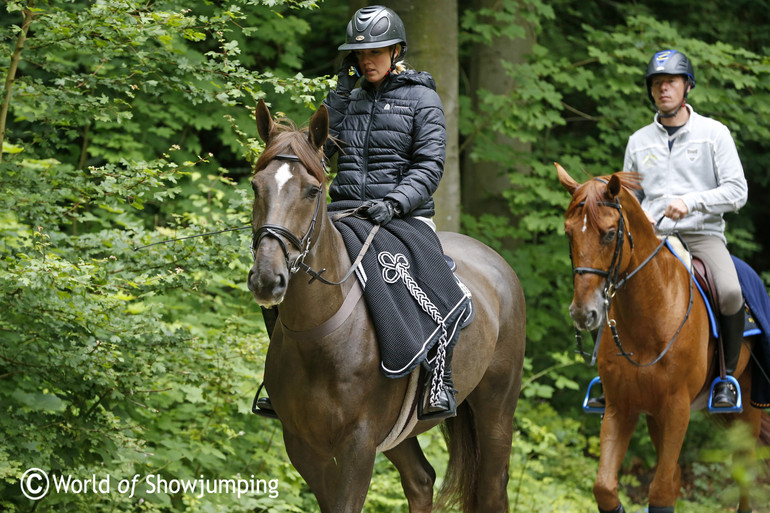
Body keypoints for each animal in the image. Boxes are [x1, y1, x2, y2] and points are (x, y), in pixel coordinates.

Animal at [249, 98, 524, 510]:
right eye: (256, 185)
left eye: (312, 191)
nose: (268, 277)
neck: (320, 335)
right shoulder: (302, 446)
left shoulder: (358, 445)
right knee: (421, 480)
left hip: (496, 410)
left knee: (492, 487)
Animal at [556, 164, 764, 512]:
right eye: (569, 233)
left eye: (609, 233)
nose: (583, 313)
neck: (650, 317)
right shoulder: (621, 408)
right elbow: (605, 488)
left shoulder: (677, 409)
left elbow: (661, 491)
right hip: (655, 416)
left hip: (748, 407)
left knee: (744, 469)